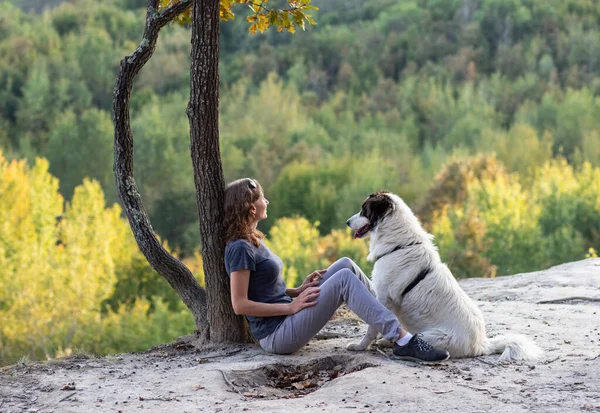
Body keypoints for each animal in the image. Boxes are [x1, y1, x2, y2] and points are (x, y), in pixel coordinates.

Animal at [344, 191, 540, 360]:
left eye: (364, 210)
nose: (347, 222)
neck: (399, 245)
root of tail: (482, 344)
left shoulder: (385, 298)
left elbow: (372, 327)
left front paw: (360, 346)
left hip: (429, 336)